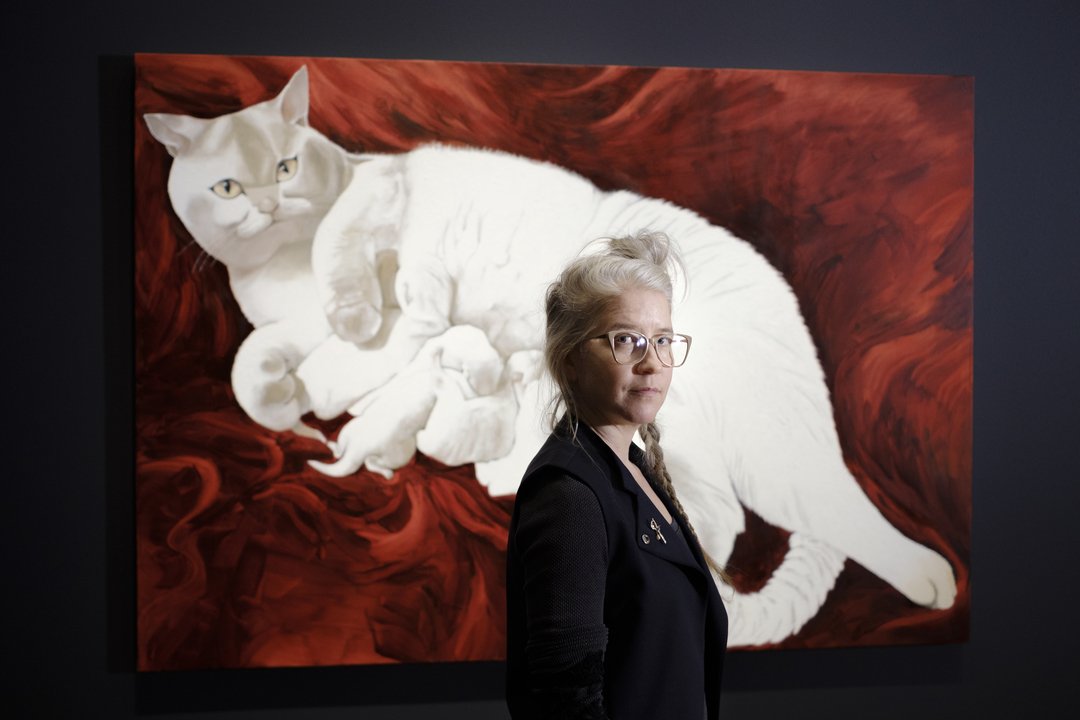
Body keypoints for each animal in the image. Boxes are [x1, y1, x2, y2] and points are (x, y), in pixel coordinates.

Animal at [141, 66, 954, 647]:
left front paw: (359, 315)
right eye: (227, 186)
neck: (283, 272)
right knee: (713, 521)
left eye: (286, 169)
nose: (267, 206)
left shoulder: (378, 191)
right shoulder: (293, 331)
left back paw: (934, 580)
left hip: (772, 453)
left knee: (837, 510)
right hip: (686, 445)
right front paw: (292, 397)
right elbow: (256, 362)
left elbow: (344, 243)